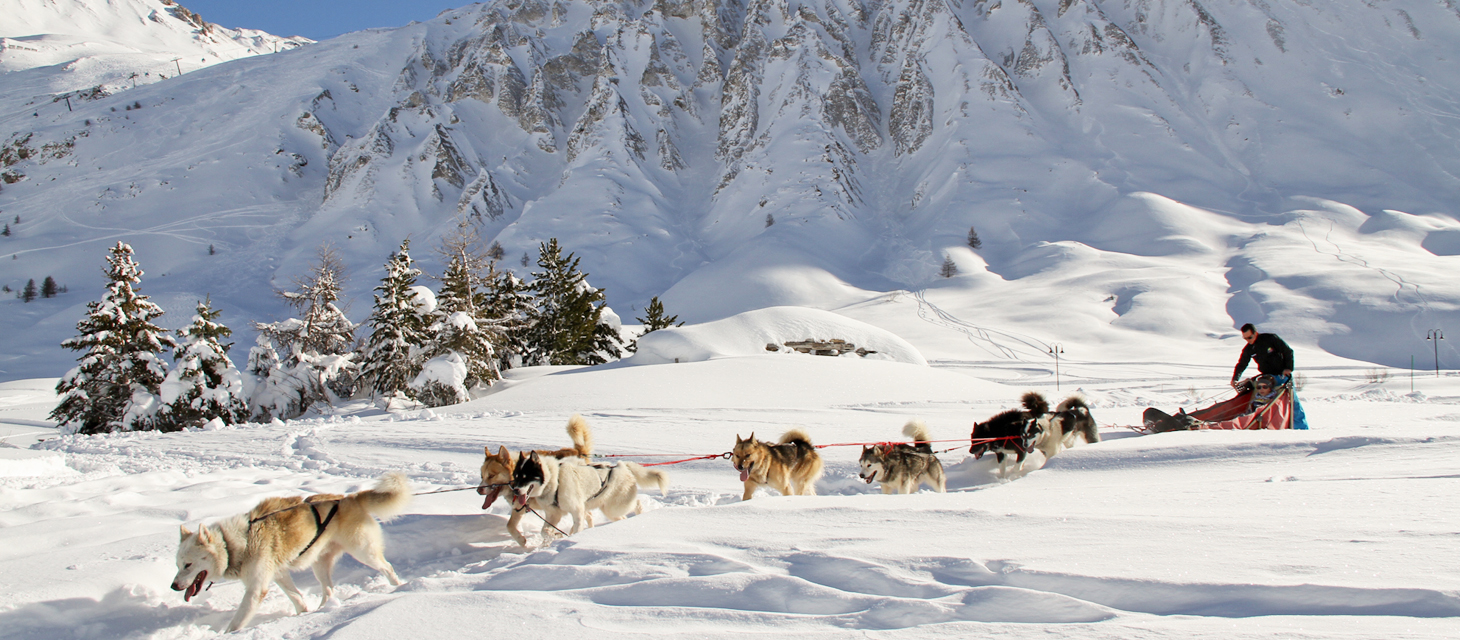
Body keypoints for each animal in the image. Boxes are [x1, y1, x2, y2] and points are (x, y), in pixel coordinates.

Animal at [171, 473, 411, 631]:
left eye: (188, 565)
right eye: (178, 565)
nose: (173, 586)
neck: (234, 544)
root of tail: (348, 498)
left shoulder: (256, 589)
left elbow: (236, 623)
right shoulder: (278, 574)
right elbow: (297, 598)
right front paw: (303, 615)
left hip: (363, 552)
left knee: (387, 568)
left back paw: (397, 589)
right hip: (319, 565)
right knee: (329, 590)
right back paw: (323, 610)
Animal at [478, 414, 592, 543]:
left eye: (491, 475)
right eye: (482, 476)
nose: (479, 490)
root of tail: (578, 452)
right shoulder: (520, 508)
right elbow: (510, 526)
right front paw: (523, 542)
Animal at [511, 450, 668, 540]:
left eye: (525, 477)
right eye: (516, 476)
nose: (514, 489)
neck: (554, 480)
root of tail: (622, 466)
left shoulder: (577, 510)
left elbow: (577, 528)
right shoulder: (553, 515)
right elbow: (544, 531)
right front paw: (554, 535)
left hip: (616, 506)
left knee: (637, 504)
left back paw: (639, 515)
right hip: (610, 510)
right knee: (621, 517)